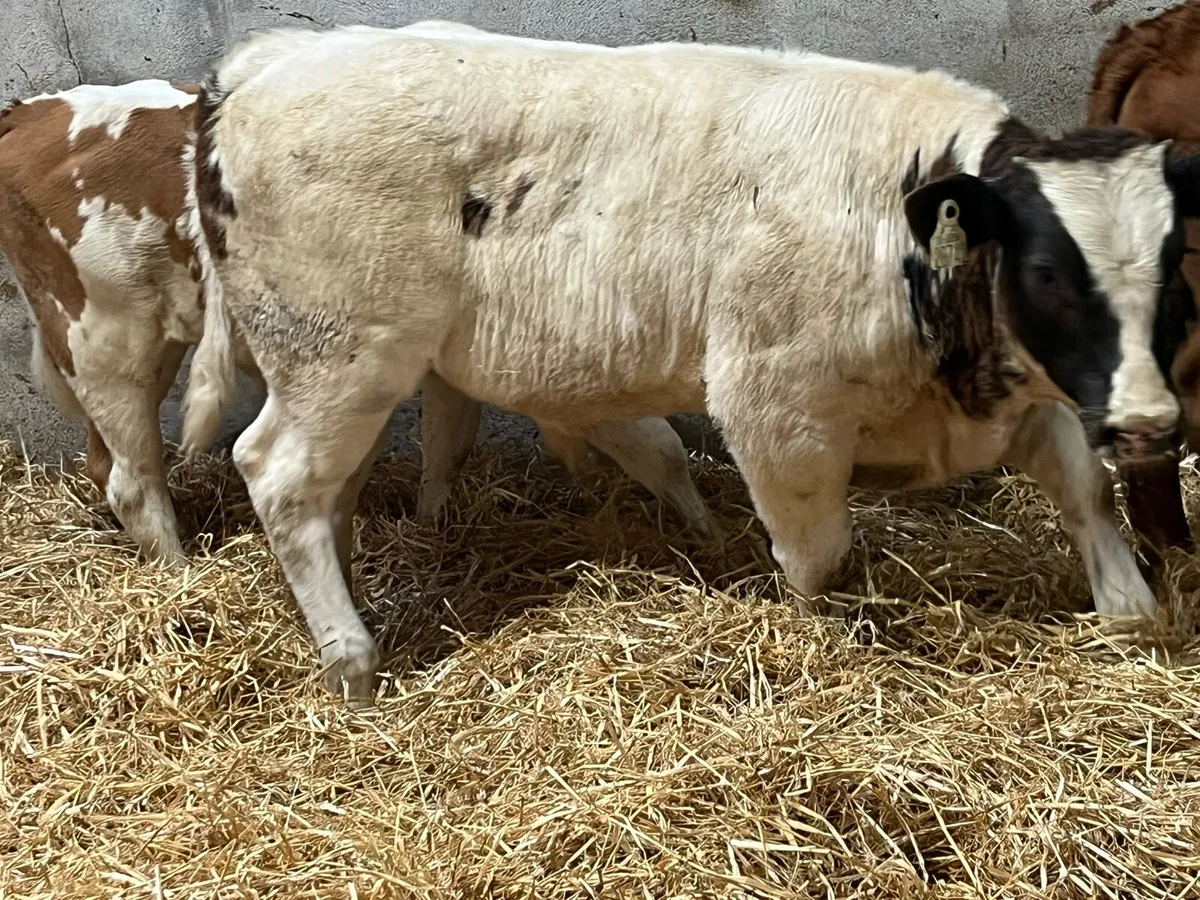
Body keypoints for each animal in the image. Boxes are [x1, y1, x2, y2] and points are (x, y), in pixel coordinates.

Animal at [0, 69, 715, 561]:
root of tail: (33, 111)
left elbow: (448, 445)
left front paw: (430, 526)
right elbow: (658, 445)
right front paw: (713, 533)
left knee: (106, 462)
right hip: (103, 335)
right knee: (133, 479)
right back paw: (180, 576)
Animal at [180, 23, 1200, 704]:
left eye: (1175, 265)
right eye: (1046, 272)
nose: (1151, 424)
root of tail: (268, 61)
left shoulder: (1030, 389)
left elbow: (1086, 491)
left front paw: (1132, 611)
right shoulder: (775, 405)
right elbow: (816, 556)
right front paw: (820, 641)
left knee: (329, 491)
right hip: (340, 356)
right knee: (277, 473)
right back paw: (351, 658)